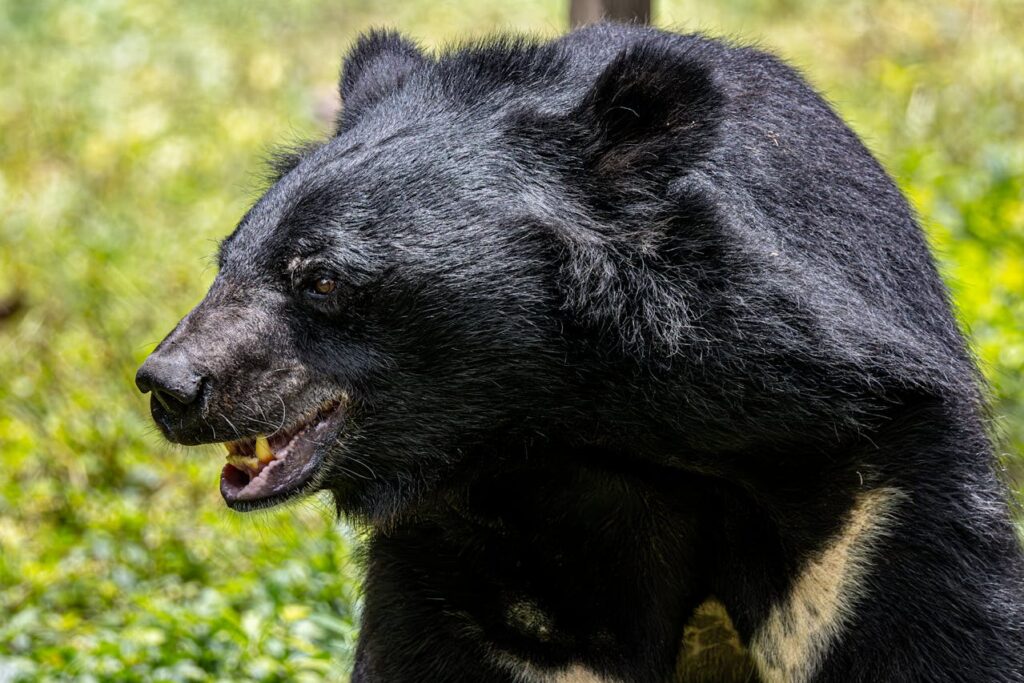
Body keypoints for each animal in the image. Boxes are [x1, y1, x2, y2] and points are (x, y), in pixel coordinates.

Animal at [135, 22, 1024, 682]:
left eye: (319, 278)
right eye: (227, 259)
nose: (170, 385)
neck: (573, 419)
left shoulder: (864, 507)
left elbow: (931, 633)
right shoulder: (469, 578)